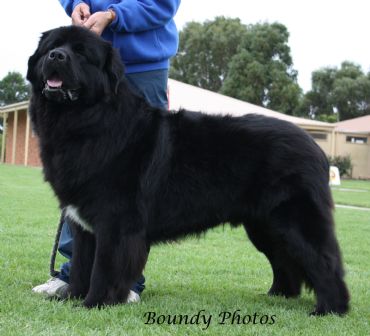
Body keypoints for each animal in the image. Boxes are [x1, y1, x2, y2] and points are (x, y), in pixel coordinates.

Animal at [27, 26, 348, 316]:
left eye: (81, 54)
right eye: (52, 47)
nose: (57, 56)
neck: (88, 122)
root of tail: (315, 147)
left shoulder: (115, 223)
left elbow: (104, 268)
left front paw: (94, 303)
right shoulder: (83, 223)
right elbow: (81, 264)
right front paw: (71, 296)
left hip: (293, 221)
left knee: (324, 259)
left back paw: (330, 309)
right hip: (264, 225)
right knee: (285, 260)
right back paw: (278, 295)